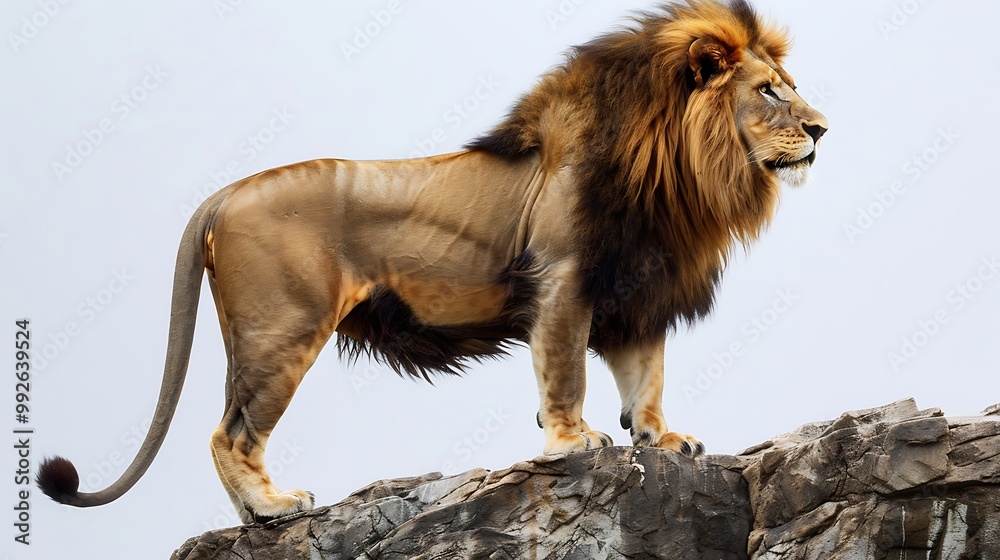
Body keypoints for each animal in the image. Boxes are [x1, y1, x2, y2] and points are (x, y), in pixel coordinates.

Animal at [38, 0, 827, 523]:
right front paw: (574, 442)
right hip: (280, 330)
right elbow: (565, 374)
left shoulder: (639, 294)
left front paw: (665, 439)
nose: (822, 128)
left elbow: (648, 380)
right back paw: (273, 507)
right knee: (228, 432)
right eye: (768, 91)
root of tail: (224, 193)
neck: (682, 177)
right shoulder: (563, 281)